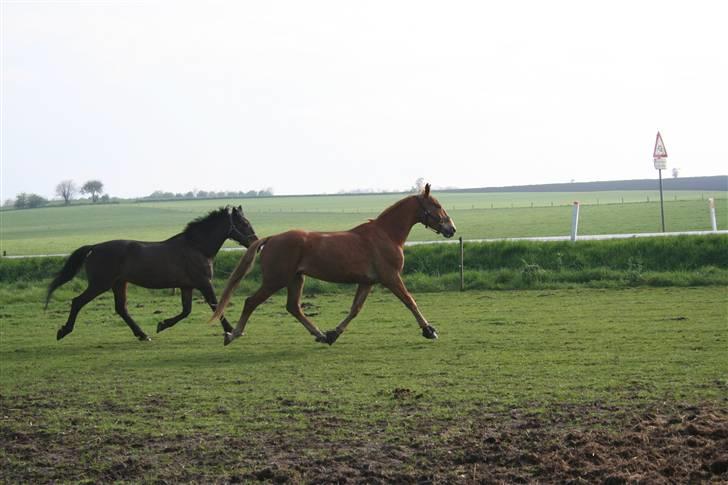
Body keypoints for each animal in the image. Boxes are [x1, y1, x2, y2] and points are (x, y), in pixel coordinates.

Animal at [47, 204, 258, 340]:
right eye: (244, 223)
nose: (256, 242)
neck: (196, 247)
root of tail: (94, 247)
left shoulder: (187, 286)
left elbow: (186, 311)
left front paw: (162, 324)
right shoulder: (204, 283)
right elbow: (215, 305)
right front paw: (232, 330)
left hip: (118, 283)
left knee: (121, 308)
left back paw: (142, 334)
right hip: (101, 284)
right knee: (78, 302)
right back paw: (63, 331)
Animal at [210, 183, 458, 346]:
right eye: (437, 205)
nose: (451, 229)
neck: (386, 235)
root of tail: (271, 239)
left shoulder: (367, 282)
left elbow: (355, 310)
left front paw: (333, 334)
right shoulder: (391, 277)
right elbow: (410, 301)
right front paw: (429, 330)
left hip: (295, 279)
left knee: (293, 307)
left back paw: (320, 334)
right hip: (275, 280)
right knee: (251, 302)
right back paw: (233, 334)